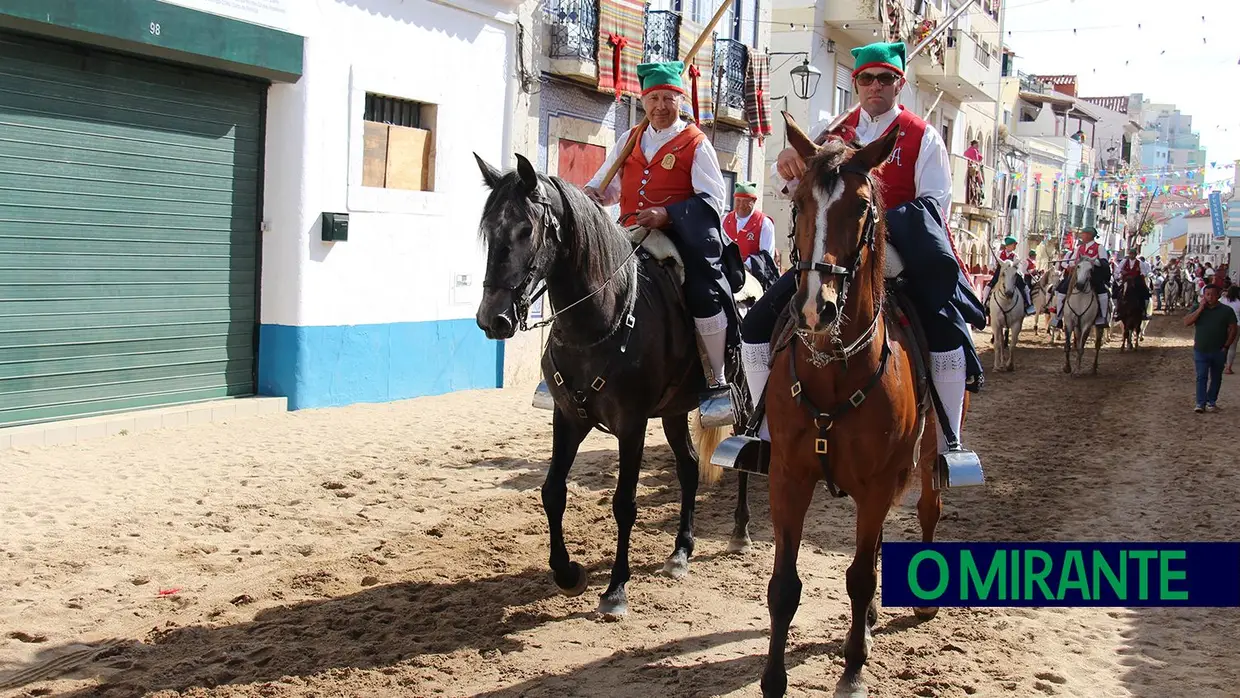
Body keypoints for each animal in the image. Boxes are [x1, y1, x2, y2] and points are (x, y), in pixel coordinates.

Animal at [471, 153, 744, 617]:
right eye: (490, 229)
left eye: (526, 229)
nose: (493, 318)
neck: (599, 321)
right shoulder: (568, 418)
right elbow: (552, 492)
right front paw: (567, 573)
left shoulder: (631, 426)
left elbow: (624, 503)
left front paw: (616, 589)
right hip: (674, 411)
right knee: (689, 467)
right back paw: (681, 551)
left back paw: (741, 532)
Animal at [753, 117, 967, 694]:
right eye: (798, 199)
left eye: (864, 206)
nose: (815, 307)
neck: (834, 368)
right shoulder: (788, 476)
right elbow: (784, 585)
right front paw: (774, 678)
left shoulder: (875, 484)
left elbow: (859, 575)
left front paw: (852, 669)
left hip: (926, 454)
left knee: (926, 509)